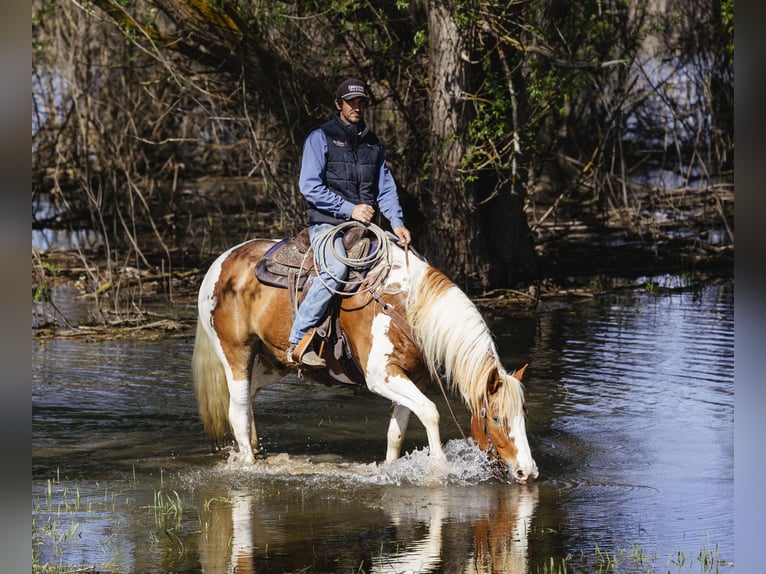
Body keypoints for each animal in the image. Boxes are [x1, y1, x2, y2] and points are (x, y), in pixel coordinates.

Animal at [191, 227, 538, 483]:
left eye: (524, 413)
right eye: (496, 417)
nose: (528, 471)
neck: (405, 306)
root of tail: (222, 261)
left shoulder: (413, 378)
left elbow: (397, 432)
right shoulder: (381, 377)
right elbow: (431, 412)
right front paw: (439, 469)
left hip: (270, 364)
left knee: (248, 402)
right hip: (237, 354)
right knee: (237, 411)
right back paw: (249, 465)